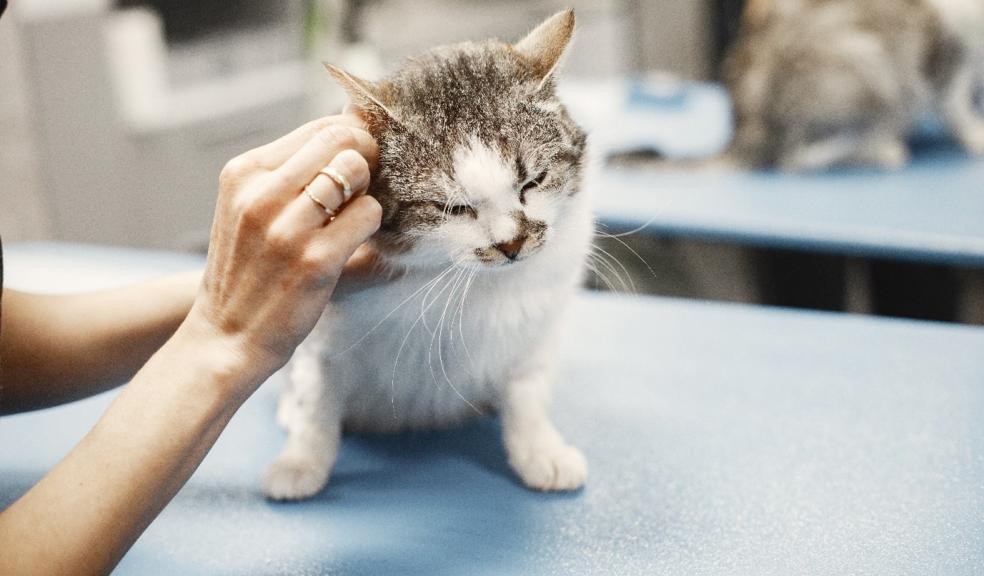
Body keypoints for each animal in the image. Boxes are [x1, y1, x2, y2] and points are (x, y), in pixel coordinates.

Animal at [262, 11, 592, 502]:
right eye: (453, 209)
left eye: (533, 182)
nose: (511, 244)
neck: (465, 281)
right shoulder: (323, 334)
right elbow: (317, 397)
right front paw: (302, 460)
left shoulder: (535, 330)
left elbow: (528, 391)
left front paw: (539, 451)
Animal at [724, 0, 984, 171]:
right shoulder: (942, 39)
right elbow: (955, 104)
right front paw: (976, 133)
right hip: (867, 61)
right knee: (797, 157)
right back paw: (884, 148)